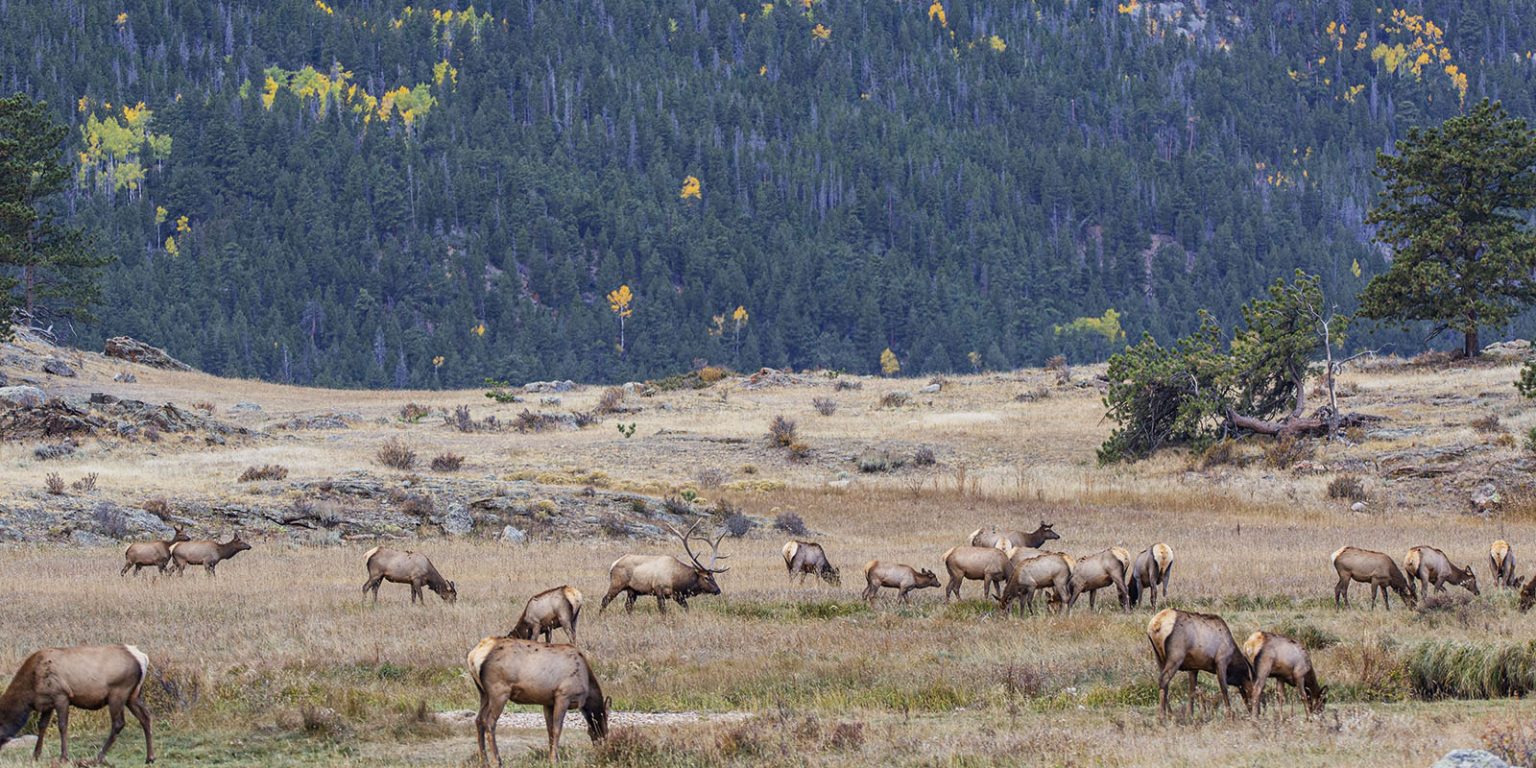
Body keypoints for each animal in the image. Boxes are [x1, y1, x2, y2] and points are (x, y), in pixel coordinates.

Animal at [0, 644, 154, 764]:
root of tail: (142, 658)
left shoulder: (61, 695)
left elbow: (62, 726)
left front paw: (63, 757)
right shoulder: (48, 702)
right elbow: (42, 726)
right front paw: (35, 756)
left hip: (118, 692)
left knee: (119, 723)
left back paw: (99, 757)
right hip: (133, 695)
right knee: (145, 717)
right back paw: (150, 758)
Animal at [468, 636, 608, 767]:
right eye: (605, 727)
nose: (602, 752)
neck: (587, 688)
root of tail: (473, 656)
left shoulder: (548, 702)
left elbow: (550, 730)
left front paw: (551, 758)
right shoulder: (563, 695)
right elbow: (557, 729)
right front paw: (554, 760)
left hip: (484, 693)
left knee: (479, 720)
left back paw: (484, 761)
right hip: (499, 691)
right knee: (489, 722)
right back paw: (497, 761)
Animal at [599, 521, 727, 614]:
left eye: (713, 577)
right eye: (706, 577)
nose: (718, 590)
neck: (677, 580)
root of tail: (613, 564)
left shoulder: (677, 595)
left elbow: (687, 608)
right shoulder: (659, 590)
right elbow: (663, 611)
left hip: (632, 590)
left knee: (628, 606)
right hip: (617, 584)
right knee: (605, 600)